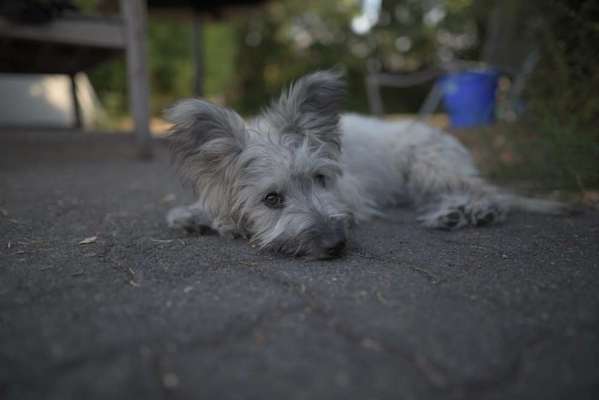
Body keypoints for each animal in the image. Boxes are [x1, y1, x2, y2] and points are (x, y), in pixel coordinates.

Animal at [165, 69, 568, 260]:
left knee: (487, 194)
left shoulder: (350, 196)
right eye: (272, 199)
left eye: (321, 179)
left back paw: (466, 211)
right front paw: (197, 214)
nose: (334, 244)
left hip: (427, 164)